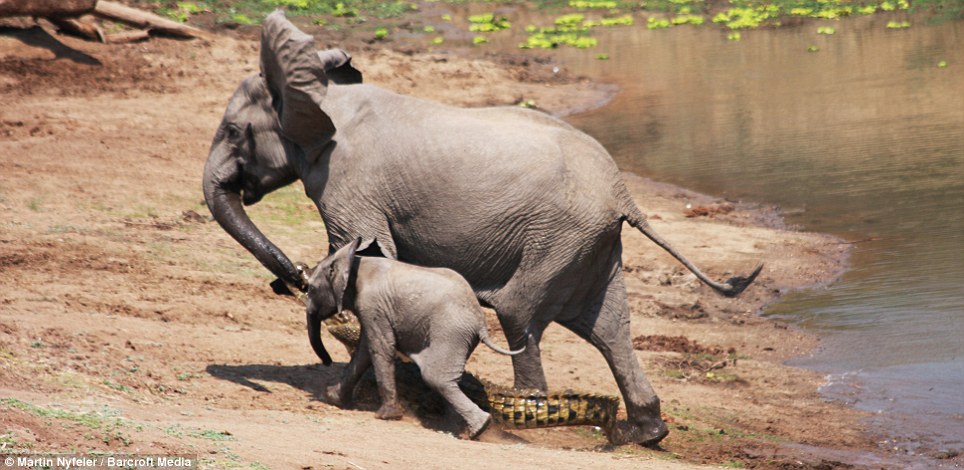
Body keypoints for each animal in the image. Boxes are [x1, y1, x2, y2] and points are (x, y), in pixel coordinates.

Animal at [305, 237, 524, 438]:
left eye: (311, 289)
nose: (326, 361)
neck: (354, 261)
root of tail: (480, 322)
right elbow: (365, 351)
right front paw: (332, 398)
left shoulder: (372, 304)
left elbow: (381, 347)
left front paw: (386, 416)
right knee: (448, 380)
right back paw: (455, 429)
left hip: (450, 334)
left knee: (435, 377)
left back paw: (479, 428)